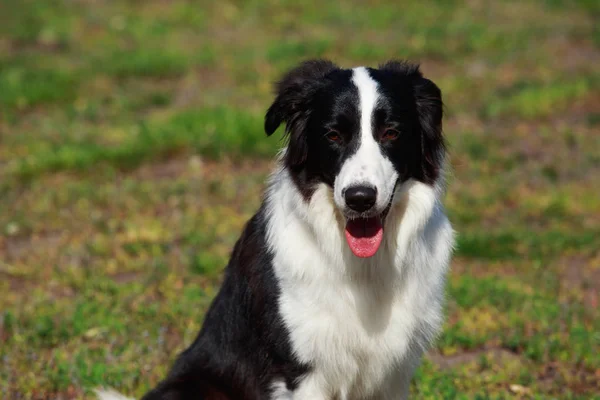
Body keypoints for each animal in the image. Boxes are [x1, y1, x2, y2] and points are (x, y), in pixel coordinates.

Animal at [98, 59, 454, 400]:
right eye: (333, 136)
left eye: (391, 133)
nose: (360, 198)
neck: (365, 266)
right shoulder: (301, 371)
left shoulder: (393, 372)